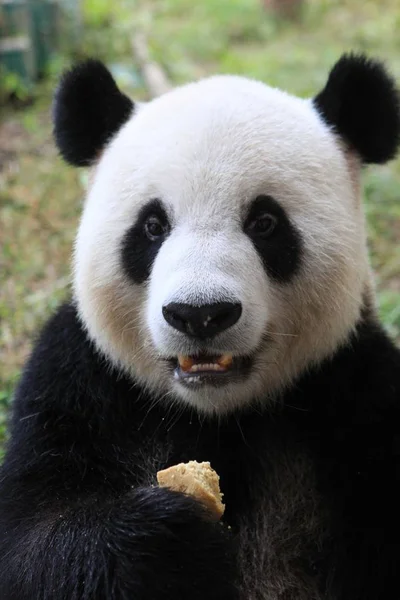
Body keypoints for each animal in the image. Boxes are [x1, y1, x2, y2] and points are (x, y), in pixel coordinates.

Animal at [0, 54, 400, 596]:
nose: (200, 313)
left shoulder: (358, 391)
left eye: (265, 223)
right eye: (152, 226)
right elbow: (31, 544)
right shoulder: (75, 384)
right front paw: (167, 543)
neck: (220, 413)